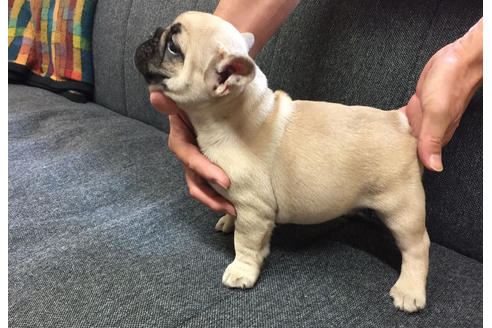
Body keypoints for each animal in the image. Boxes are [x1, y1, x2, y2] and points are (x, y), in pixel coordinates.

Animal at [135, 11, 430, 314]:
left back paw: (409, 291)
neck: (232, 116)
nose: (153, 32)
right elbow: (236, 216)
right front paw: (228, 219)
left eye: (173, 48)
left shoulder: (255, 210)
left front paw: (242, 271)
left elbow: (245, 243)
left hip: (401, 209)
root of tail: (399, 122)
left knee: (417, 247)